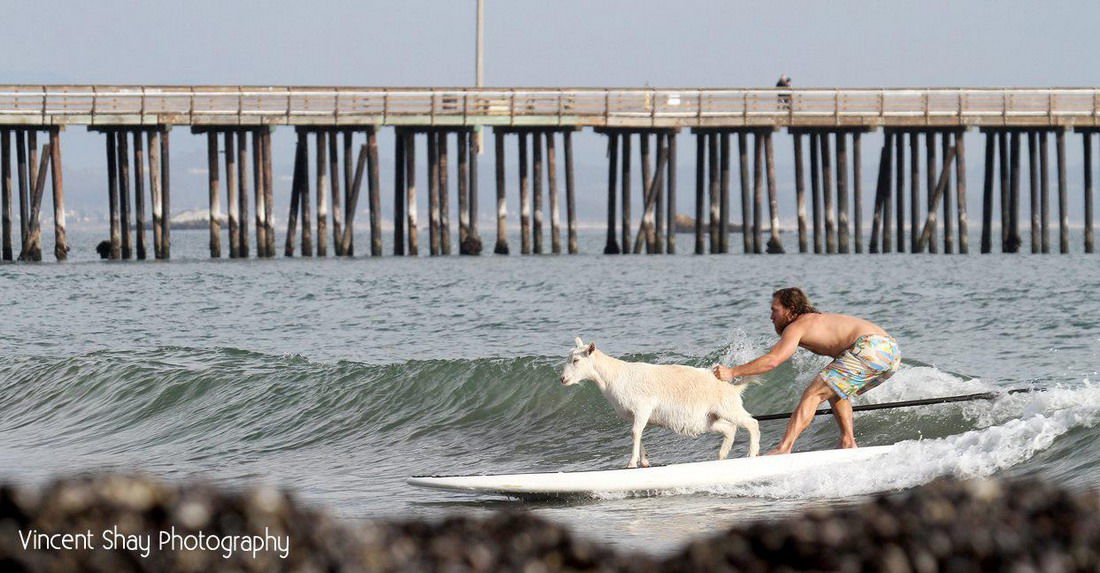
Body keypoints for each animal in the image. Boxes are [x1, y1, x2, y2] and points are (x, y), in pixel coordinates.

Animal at [558, 336, 756, 466]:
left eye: (576, 360)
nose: (562, 379)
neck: (614, 376)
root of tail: (733, 388)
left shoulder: (642, 407)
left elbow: (635, 432)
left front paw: (631, 463)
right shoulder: (633, 414)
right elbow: (637, 433)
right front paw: (644, 460)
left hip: (728, 407)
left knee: (751, 423)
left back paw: (752, 453)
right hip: (707, 419)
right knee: (730, 429)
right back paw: (721, 456)